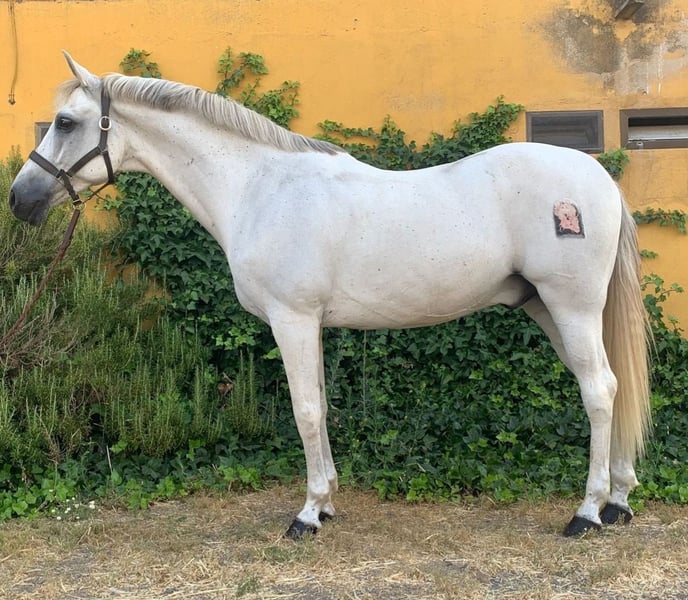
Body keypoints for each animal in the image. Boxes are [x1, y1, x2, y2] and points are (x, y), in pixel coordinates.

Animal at [9, 52, 651, 539]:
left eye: (64, 122)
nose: (20, 200)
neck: (259, 187)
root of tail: (600, 180)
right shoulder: (310, 323)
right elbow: (319, 404)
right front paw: (329, 502)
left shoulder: (291, 319)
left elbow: (305, 410)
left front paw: (307, 514)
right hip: (550, 309)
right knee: (614, 387)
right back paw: (619, 501)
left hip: (571, 307)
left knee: (599, 391)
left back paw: (587, 513)